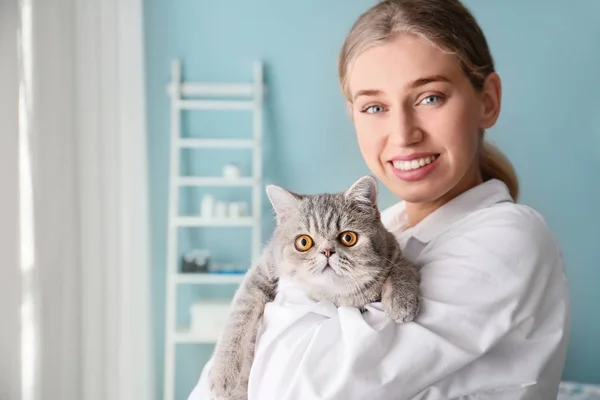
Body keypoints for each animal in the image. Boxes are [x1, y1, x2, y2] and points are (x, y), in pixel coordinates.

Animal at [209, 175, 420, 400]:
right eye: (303, 242)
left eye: (348, 238)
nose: (327, 251)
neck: (329, 293)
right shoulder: (263, 269)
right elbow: (238, 319)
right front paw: (223, 373)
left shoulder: (393, 250)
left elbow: (403, 268)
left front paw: (402, 300)